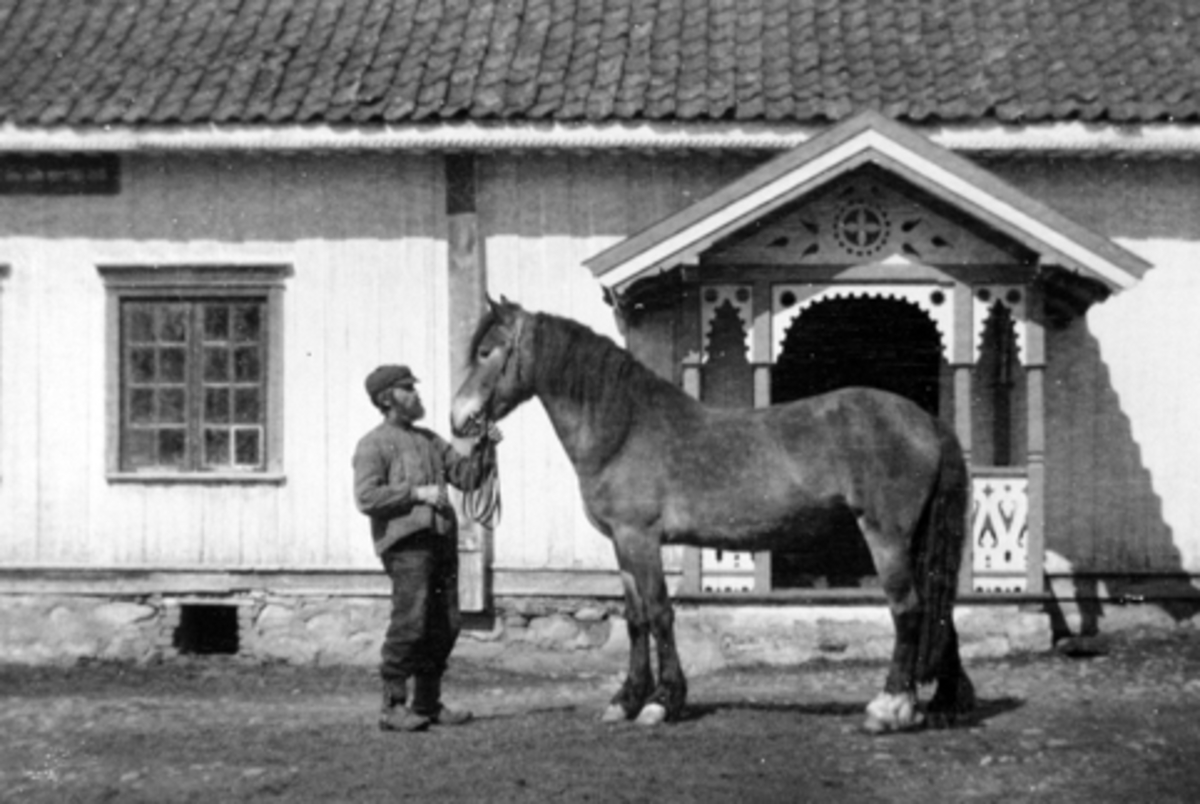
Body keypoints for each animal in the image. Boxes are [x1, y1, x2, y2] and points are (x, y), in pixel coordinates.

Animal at [451, 297, 974, 739]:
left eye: (486, 351)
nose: (459, 418)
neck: (626, 426)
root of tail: (929, 422)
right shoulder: (622, 543)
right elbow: (635, 618)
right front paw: (625, 700)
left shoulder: (640, 538)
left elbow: (660, 613)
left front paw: (662, 702)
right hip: (917, 539)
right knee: (939, 608)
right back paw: (943, 705)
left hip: (886, 536)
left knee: (909, 609)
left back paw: (889, 708)